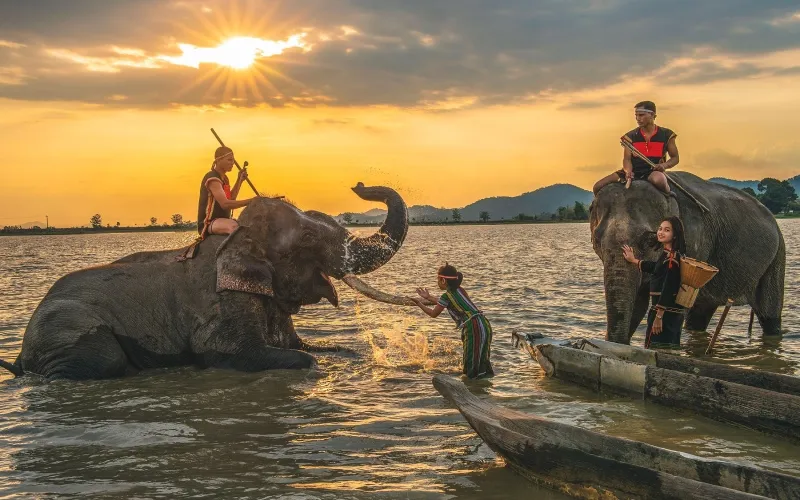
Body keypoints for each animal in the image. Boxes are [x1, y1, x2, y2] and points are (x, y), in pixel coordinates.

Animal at [0, 182, 412, 380]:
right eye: (309, 239)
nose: (359, 184)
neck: (238, 237)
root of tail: (21, 356)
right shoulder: (220, 302)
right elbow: (235, 352)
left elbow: (312, 347)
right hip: (67, 331)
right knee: (99, 363)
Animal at [592, 172, 784, 344]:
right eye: (596, 239)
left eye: (649, 240)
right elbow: (639, 302)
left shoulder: (693, 240)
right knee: (699, 314)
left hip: (776, 258)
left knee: (769, 315)